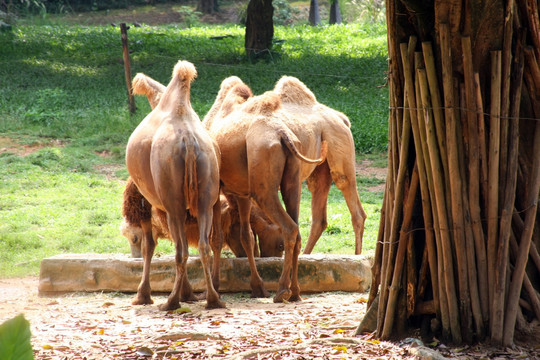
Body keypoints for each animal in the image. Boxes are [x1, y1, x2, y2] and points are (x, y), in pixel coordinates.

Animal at [126, 61, 224, 310]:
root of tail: (188, 141)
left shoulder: (148, 199)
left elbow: (148, 245)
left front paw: (143, 295)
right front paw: (188, 294)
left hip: (173, 202)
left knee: (181, 249)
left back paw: (170, 302)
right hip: (206, 194)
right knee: (202, 245)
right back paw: (213, 299)